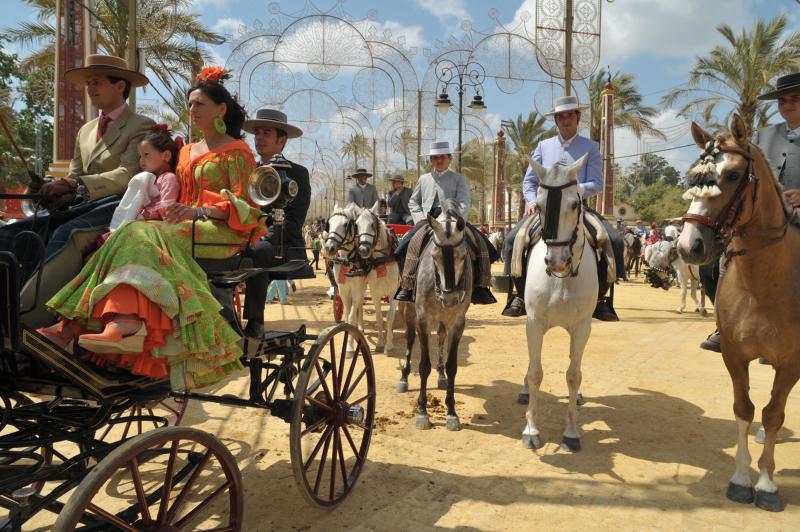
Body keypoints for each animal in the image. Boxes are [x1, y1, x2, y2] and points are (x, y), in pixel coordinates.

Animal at [354, 204, 400, 354]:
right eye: (356, 225)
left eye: (372, 224)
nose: (363, 250)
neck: (382, 261)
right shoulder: (374, 292)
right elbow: (379, 317)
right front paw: (380, 342)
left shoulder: (394, 293)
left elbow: (390, 318)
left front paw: (389, 345)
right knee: (360, 304)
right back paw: (361, 327)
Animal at [520, 155, 596, 454]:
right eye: (539, 205)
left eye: (575, 204)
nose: (557, 261)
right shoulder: (533, 323)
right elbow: (535, 373)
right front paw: (531, 430)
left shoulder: (583, 327)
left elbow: (574, 375)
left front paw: (571, 433)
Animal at [676, 115, 800, 512]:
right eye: (691, 176)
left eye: (731, 175)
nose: (688, 246)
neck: (764, 286)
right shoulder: (734, 354)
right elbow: (744, 408)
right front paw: (742, 479)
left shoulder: (792, 361)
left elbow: (774, 413)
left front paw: (767, 485)